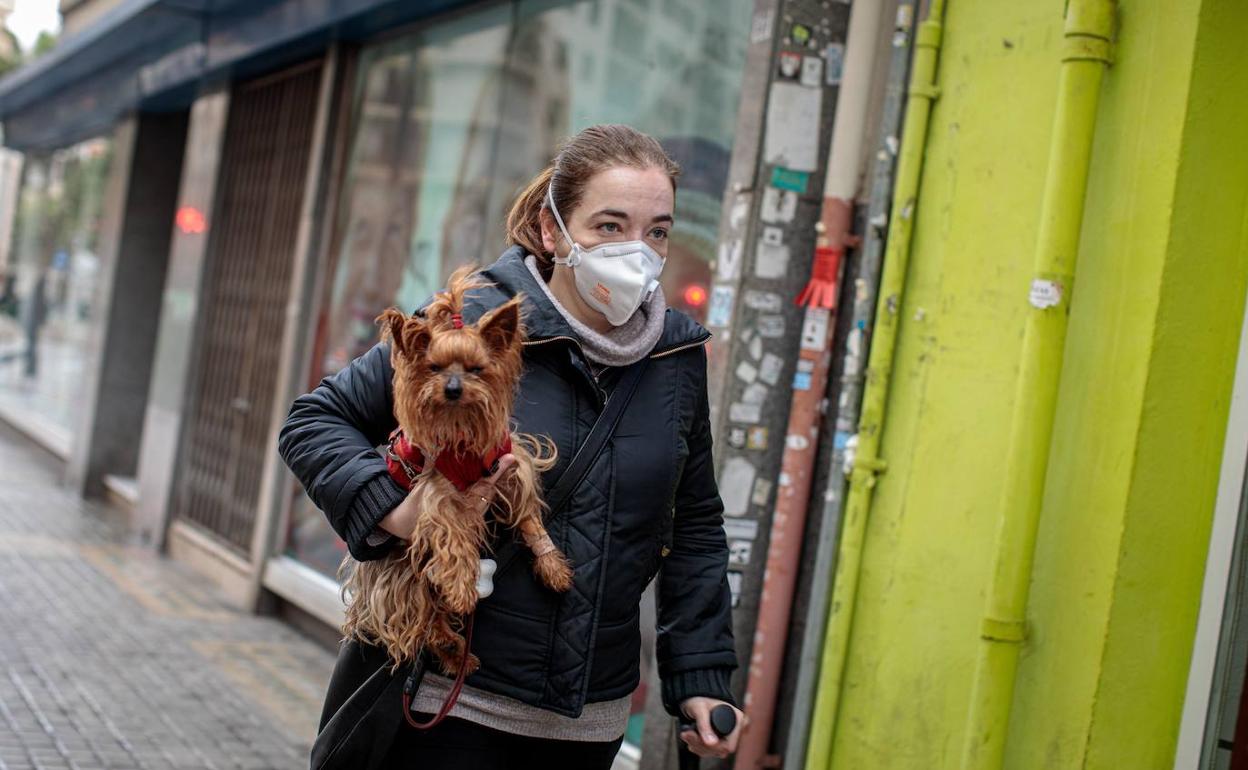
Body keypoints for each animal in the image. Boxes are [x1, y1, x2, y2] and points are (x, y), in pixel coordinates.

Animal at [344, 268, 571, 673]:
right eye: (434, 368)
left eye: (476, 370)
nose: (451, 388)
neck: (459, 425)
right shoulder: (441, 496)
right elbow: (457, 542)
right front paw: (464, 588)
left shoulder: (510, 468)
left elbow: (530, 519)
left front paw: (553, 567)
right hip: (404, 570)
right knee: (423, 606)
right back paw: (450, 642)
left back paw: (453, 650)